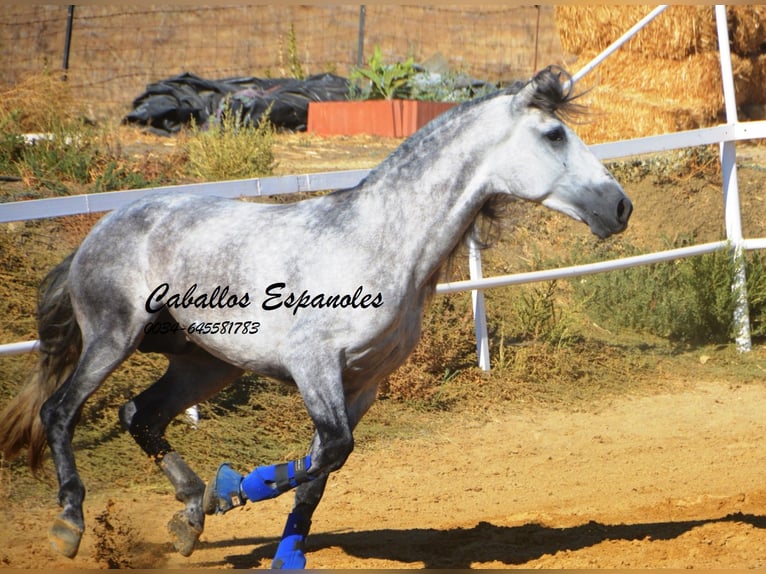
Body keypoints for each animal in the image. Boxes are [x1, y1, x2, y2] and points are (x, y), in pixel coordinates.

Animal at [1, 66, 636, 568]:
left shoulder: (363, 383)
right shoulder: (315, 365)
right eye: (554, 134)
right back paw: (71, 525)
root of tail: (100, 230)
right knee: (61, 412)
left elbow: (322, 472)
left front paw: (281, 549)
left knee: (140, 415)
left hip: (206, 362)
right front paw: (233, 489)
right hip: (113, 336)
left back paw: (189, 515)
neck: (378, 243)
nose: (620, 206)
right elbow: (331, 451)